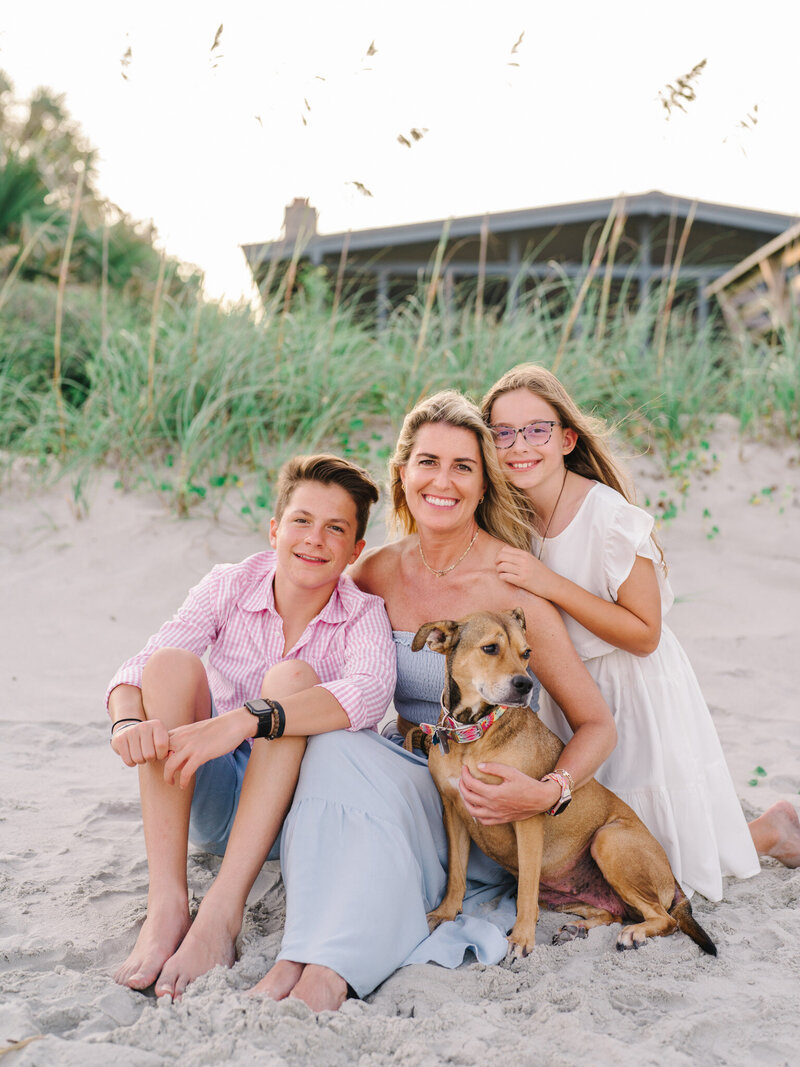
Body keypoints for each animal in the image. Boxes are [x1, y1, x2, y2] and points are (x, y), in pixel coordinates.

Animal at [407, 610, 721, 960]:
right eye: (490, 648)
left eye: (526, 653)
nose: (525, 684)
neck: (474, 734)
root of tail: (675, 881)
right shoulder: (453, 812)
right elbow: (456, 875)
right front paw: (446, 914)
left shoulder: (525, 819)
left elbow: (524, 894)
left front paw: (522, 939)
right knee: (612, 912)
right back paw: (578, 928)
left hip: (608, 840)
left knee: (665, 919)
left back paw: (634, 933)